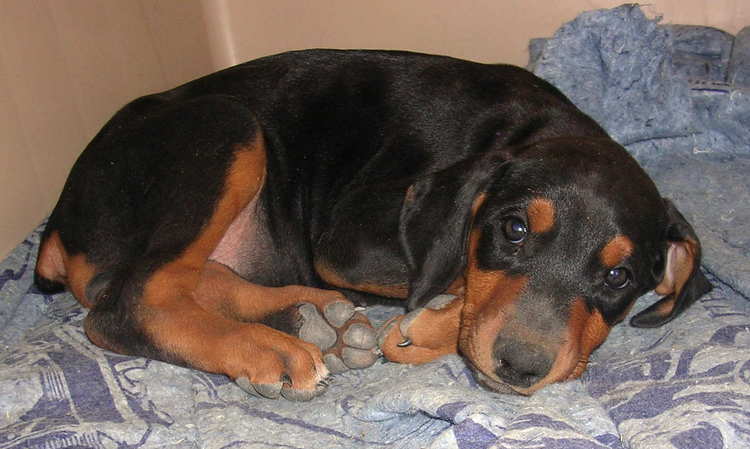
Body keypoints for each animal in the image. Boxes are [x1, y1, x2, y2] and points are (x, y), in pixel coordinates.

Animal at [33, 50, 712, 400]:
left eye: (619, 277)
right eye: (514, 230)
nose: (521, 367)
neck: (525, 131)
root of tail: (59, 217)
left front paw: (429, 328)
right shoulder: (348, 240)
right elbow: (458, 270)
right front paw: (429, 326)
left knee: (187, 281)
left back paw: (313, 318)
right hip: (225, 124)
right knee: (127, 302)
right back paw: (273, 347)